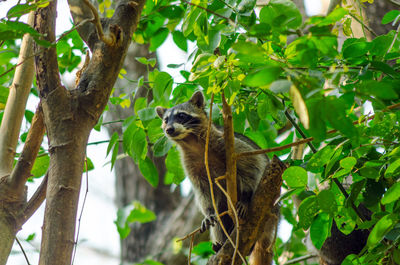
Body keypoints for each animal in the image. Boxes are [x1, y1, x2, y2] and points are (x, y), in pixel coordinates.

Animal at [155, 92, 268, 251]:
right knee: (220, 219)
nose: (168, 129)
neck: (191, 141)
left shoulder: (227, 143)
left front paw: (246, 195)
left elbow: (253, 162)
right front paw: (208, 211)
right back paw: (221, 242)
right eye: (165, 120)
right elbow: (203, 188)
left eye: (181, 116)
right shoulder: (190, 164)